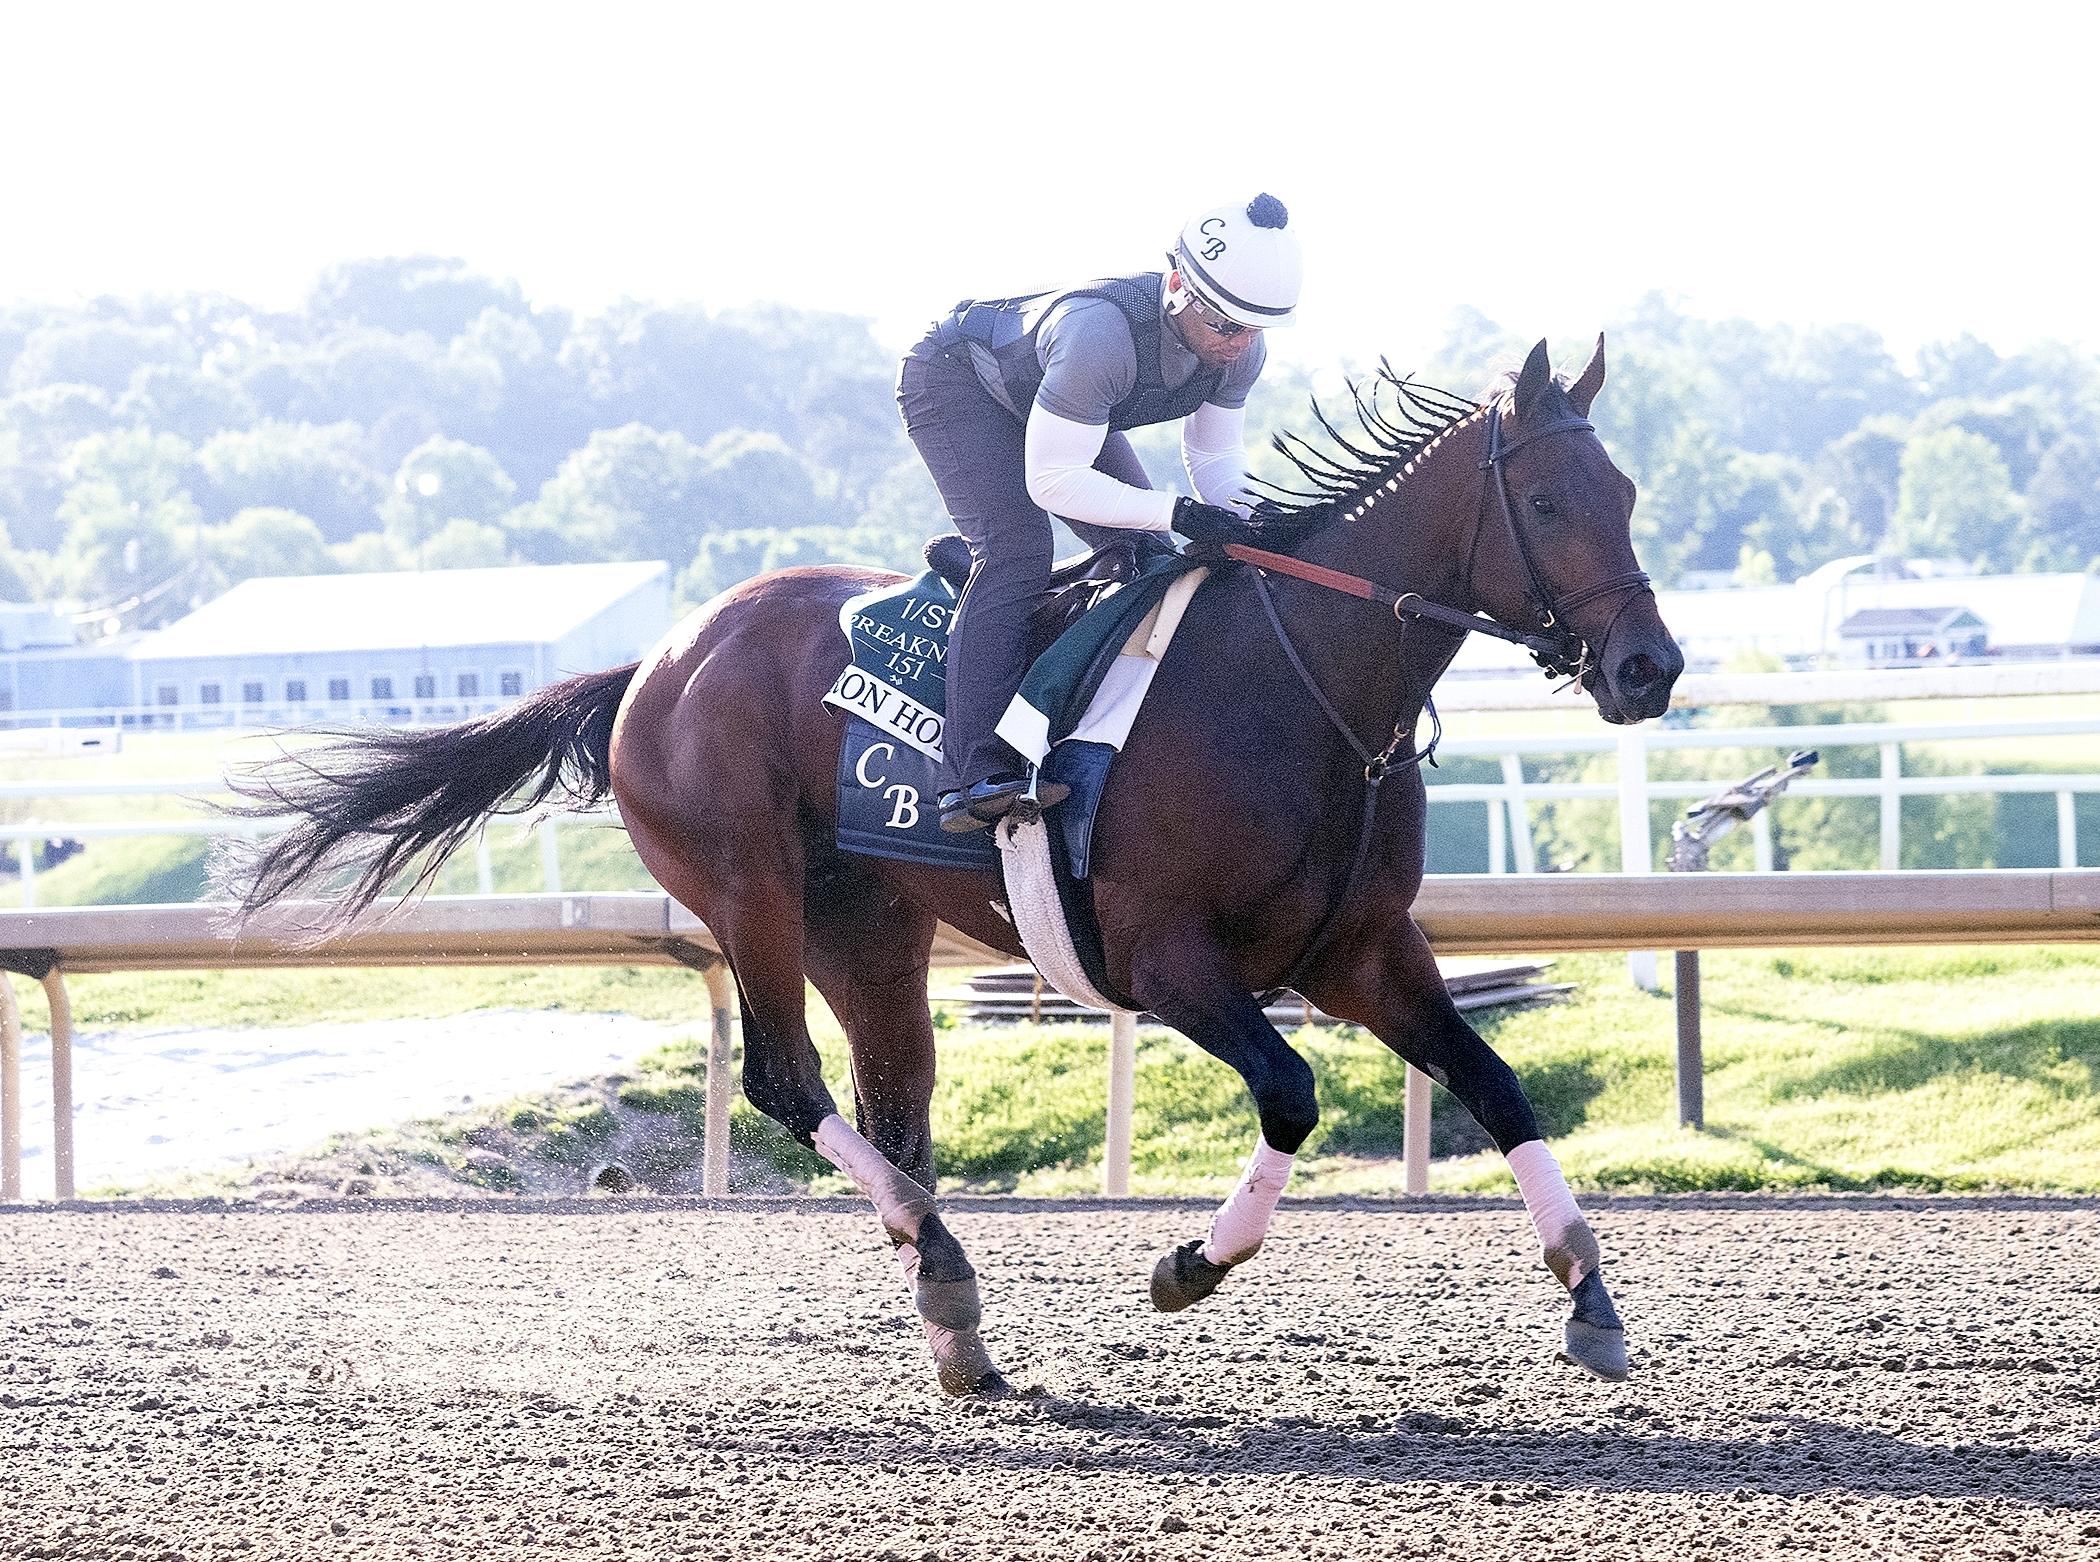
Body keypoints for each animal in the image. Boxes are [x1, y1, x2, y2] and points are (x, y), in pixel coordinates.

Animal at [226, 336, 1682, 1397]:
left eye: (1626, 493)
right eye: (1547, 498)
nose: (1649, 668)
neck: (1302, 682)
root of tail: (654, 660)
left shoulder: (1362, 950)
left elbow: (1494, 1082)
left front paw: (1592, 1296)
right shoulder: (1169, 961)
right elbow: (1289, 1094)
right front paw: (1188, 1264)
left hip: (867, 925)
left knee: (894, 1105)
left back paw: (949, 1306)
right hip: (749, 893)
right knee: (786, 1080)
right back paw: (947, 1275)